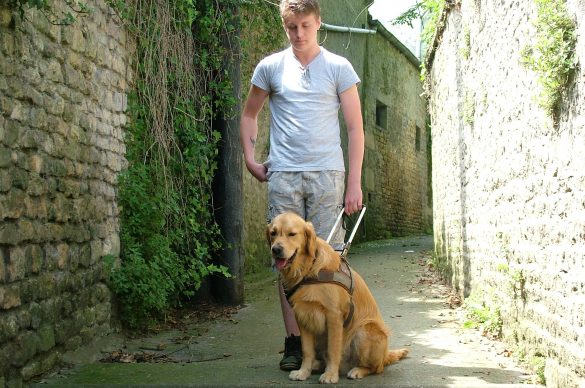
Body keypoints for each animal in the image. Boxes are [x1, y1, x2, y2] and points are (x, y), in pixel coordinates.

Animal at [266, 214, 408, 384]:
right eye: (273, 233)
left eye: (291, 234)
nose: (276, 250)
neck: (308, 270)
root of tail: (385, 355)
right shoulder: (302, 316)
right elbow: (307, 351)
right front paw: (303, 372)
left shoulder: (334, 316)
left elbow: (333, 349)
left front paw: (330, 375)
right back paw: (316, 365)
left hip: (364, 331)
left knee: (376, 368)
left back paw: (357, 370)